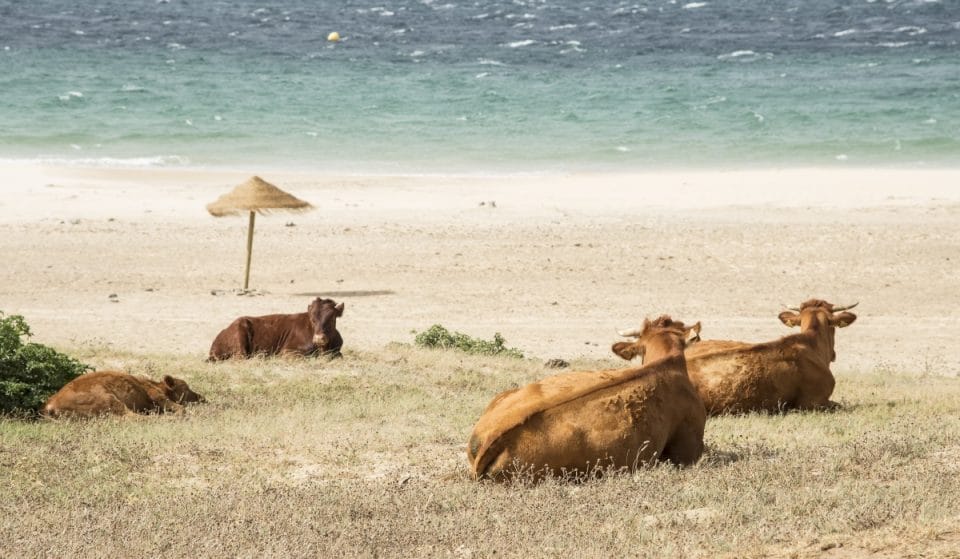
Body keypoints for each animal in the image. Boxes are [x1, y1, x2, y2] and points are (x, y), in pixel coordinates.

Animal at [42, 371, 206, 418]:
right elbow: (180, 408)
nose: (202, 398)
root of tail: (50, 403)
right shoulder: (157, 396)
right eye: (186, 388)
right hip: (110, 399)